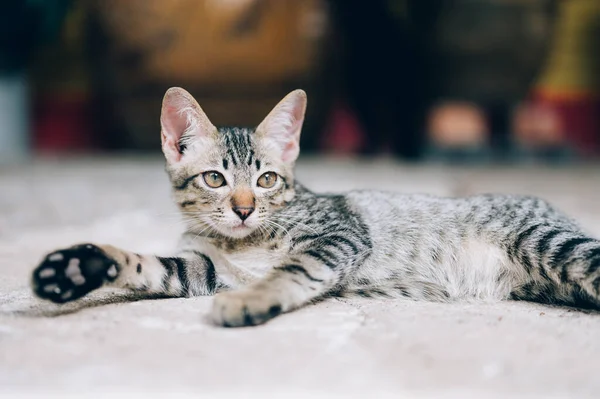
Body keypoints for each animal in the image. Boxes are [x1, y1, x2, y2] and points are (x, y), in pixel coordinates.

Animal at [30, 88, 600, 328]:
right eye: (215, 178)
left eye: (266, 179)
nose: (243, 209)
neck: (242, 242)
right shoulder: (206, 269)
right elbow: (152, 266)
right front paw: (80, 266)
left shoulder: (339, 234)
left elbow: (292, 269)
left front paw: (253, 300)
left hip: (546, 242)